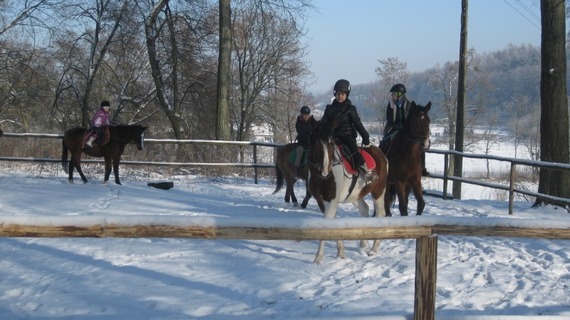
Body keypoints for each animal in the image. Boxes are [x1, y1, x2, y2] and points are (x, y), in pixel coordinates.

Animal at [308, 119, 388, 264]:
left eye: (331, 143)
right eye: (315, 142)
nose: (325, 171)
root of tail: (380, 153)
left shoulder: (331, 201)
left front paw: (318, 258)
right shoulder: (323, 202)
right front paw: (341, 253)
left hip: (378, 192)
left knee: (380, 214)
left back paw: (373, 249)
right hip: (356, 196)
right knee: (364, 209)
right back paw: (363, 243)